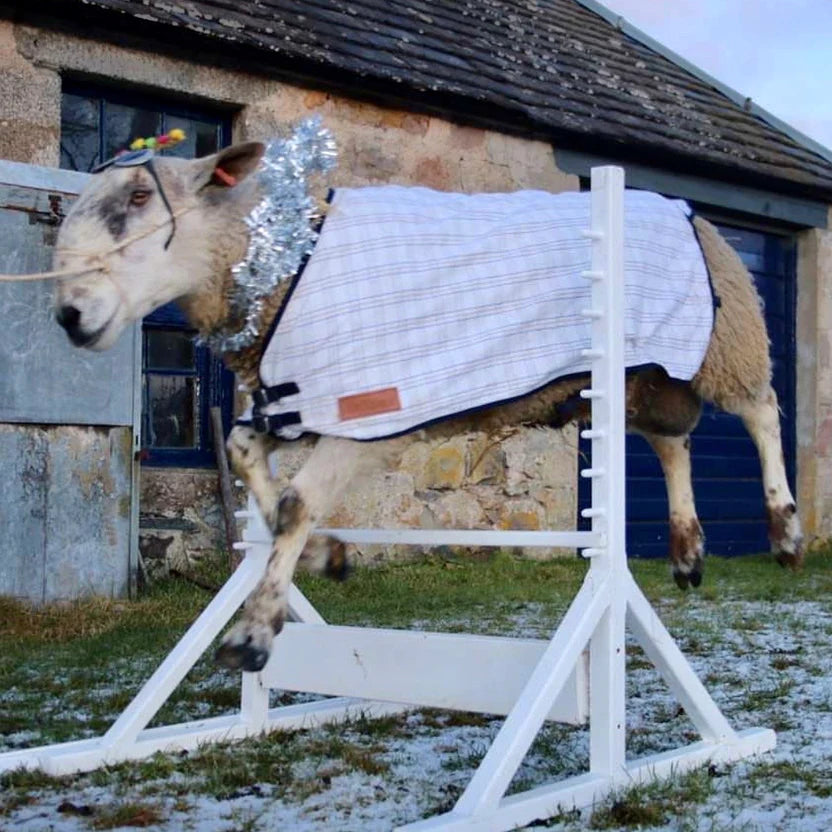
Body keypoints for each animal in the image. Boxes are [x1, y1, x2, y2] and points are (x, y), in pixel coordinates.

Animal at [52, 138, 802, 673]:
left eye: (140, 194)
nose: (68, 314)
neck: (285, 262)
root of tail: (684, 208)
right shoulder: (296, 402)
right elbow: (244, 458)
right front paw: (326, 556)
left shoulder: (363, 412)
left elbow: (295, 504)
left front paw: (255, 633)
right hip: (646, 377)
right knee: (673, 442)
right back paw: (686, 548)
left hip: (724, 344)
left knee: (763, 411)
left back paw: (785, 530)